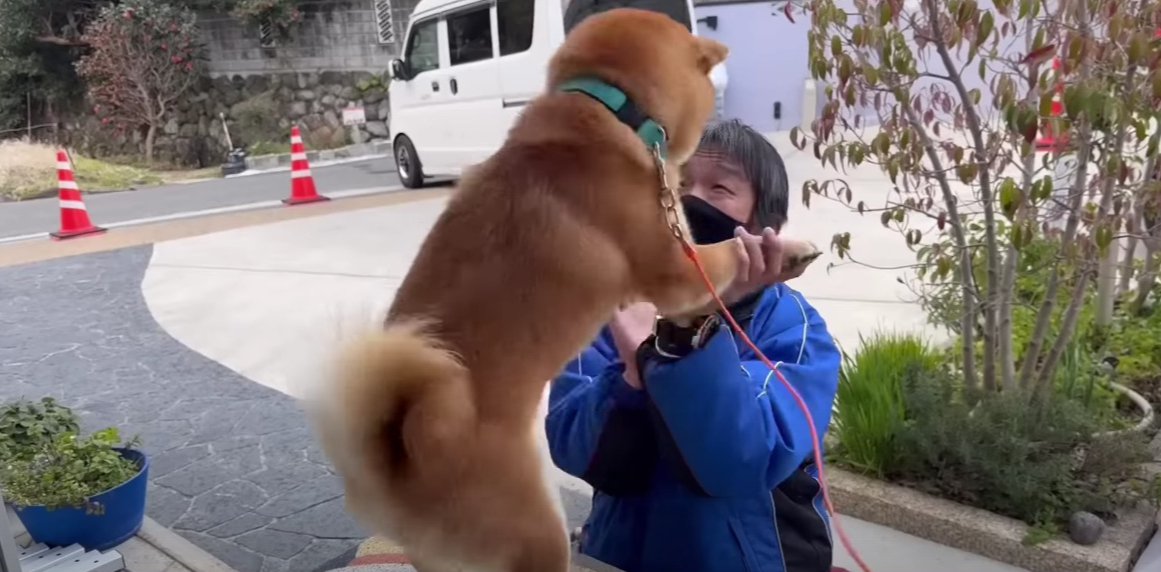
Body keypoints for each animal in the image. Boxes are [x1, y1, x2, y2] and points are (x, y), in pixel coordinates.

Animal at [308, 7, 817, 570]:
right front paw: (775, 252)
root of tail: (396, 466)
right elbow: (727, 254)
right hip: (534, 529)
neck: (611, 109)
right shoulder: (675, 270)